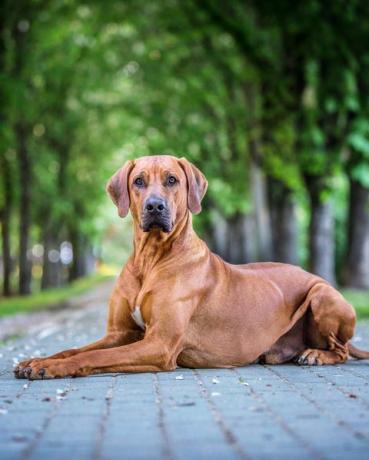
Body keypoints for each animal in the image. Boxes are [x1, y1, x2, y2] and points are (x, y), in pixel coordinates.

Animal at [13, 156, 368, 380]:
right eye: (138, 181)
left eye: (172, 180)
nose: (155, 206)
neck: (151, 259)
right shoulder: (120, 334)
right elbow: (72, 348)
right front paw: (36, 360)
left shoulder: (159, 344)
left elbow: (92, 357)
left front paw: (51, 368)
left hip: (323, 294)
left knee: (341, 350)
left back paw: (316, 355)